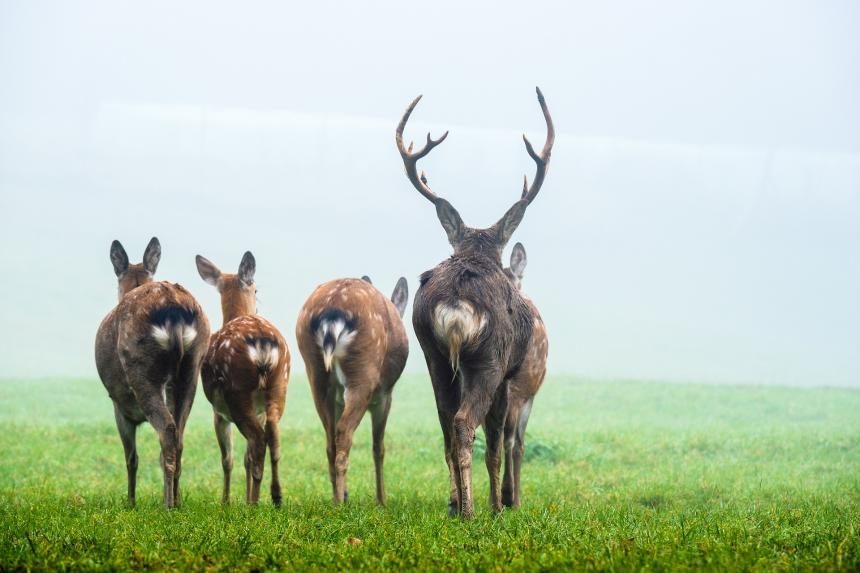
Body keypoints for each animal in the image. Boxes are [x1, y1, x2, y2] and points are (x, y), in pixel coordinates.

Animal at [95, 237, 210, 509]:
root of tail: (174, 311)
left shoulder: (120, 407)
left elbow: (131, 458)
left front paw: (130, 502)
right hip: (192, 366)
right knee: (179, 433)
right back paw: (177, 501)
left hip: (141, 368)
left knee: (167, 430)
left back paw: (167, 505)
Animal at [196, 252, 290, 506]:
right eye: (256, 290)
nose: (257, 306)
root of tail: (262, 345)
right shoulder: (258, 410)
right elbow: (245, 458)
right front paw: (242, 498)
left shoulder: (218, 413)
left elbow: (227, 459)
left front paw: (226, 502)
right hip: (279, 382)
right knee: (273, 435)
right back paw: (276, 496)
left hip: (237, 389)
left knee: (258, 440)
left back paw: (256, 503)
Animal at [295, 276, 409, 505]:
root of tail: (332, 312)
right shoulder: (385, 395)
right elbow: (378, 447)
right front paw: (382, 501)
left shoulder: (339, 399)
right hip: (363, 370)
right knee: (344, 432)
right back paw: (340, 503)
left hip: (316, 372)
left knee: (331, 439)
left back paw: (337, 498)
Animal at [395, 87, 554, 518]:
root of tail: (454, 304)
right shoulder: (507, 375)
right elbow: (497, 445)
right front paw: (498, 506)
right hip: (488, 361)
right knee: (466, 425)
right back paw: (472, 512)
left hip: (434, 357)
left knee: (446, 426)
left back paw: (455, 506)